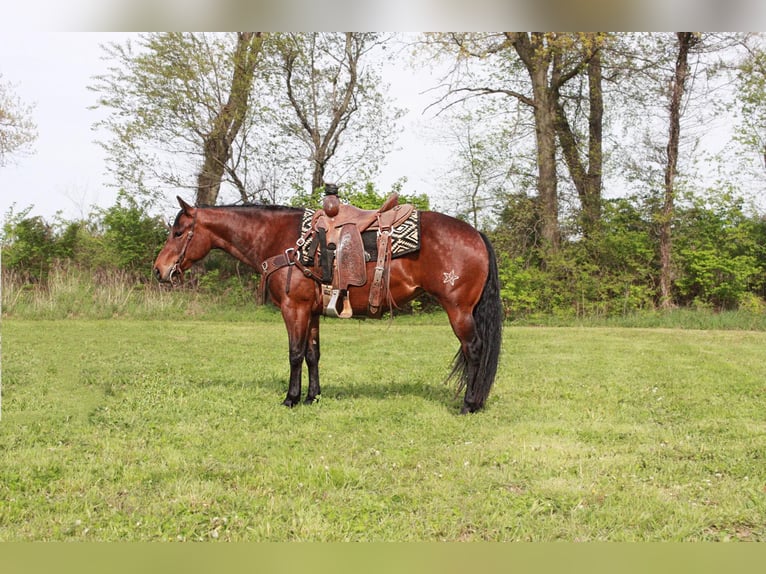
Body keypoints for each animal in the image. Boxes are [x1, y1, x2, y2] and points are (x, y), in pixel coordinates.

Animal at [155, 198, 504, 414]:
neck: (285, 242)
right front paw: (313, 396)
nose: (159, 270)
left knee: (474, 350)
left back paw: (469, 404)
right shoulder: (311, 312)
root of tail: (476, 233)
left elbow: (295, 354)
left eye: (178, 232)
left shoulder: (293, 308)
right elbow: (313, 354)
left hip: (458, 310)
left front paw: (291, 398)